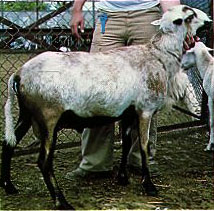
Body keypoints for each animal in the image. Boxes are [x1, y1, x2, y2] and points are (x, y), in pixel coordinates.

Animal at [0, 4, 211, 209]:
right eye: (188, 16)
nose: (209, 22)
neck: (158, 55)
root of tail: (19, 74)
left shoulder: (128, 112)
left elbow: (126, 143)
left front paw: (123, 177)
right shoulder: (145, 110)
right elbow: (143, 146)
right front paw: (149, 185)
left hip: (28, 114)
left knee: (8, 145)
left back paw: (9, 186)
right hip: (48, 117)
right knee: (43, 161)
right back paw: (61, 201)